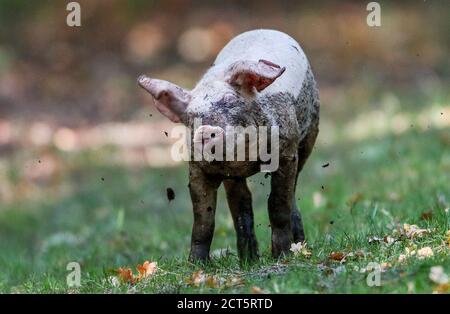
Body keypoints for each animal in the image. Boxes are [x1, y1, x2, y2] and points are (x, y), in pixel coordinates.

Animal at [139, 29, 318, 264]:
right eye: (191, 116)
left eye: (230, 99)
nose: (205, 131)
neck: (242, 160)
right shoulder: (197, 169)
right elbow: (203, 220)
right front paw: (196, 265)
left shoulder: (286, 151)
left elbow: (278, 204)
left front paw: (282, 256)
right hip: (233, 180)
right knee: (241, 203)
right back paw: (248, 260)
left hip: (309, 134)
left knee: (292, 192)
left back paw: (299, 248)